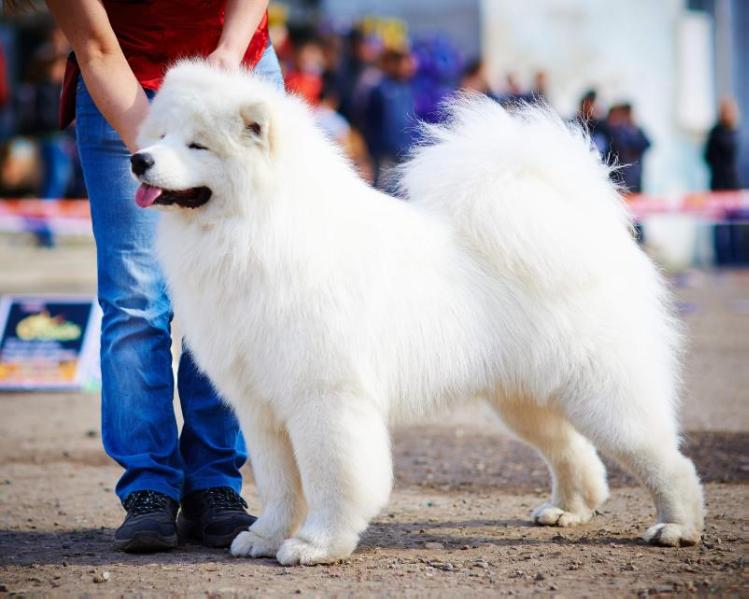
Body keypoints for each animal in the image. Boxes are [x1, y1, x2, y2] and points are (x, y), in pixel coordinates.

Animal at [131, 58, 704, 564]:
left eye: (197, 144)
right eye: (161, 135)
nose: (139, 159)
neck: (260, 228)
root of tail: (591, 227)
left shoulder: (325, 398)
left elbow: (331, 479)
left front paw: (317, 545)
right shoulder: (261, 406)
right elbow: (279, 485)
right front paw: (266, 537)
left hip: (604, 394)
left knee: (664, 458)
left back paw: (677, 527)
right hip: (524, 397)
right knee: (574, 453)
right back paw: (567, 510)